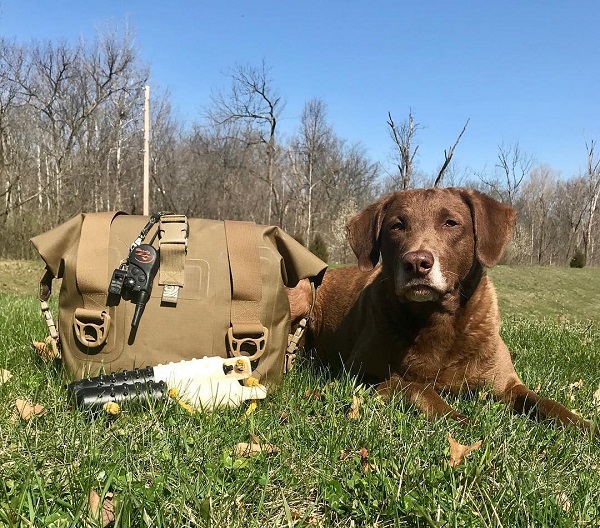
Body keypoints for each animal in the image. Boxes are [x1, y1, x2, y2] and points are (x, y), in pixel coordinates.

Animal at [290, 188, 596, 432]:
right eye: (396, 225)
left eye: (451, 223)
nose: (416, 262)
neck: (437, 319)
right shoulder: (361, 376)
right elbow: (416, 386)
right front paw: (459, 418)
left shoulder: (507, 385)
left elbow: (545, 402)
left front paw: (583, 426)